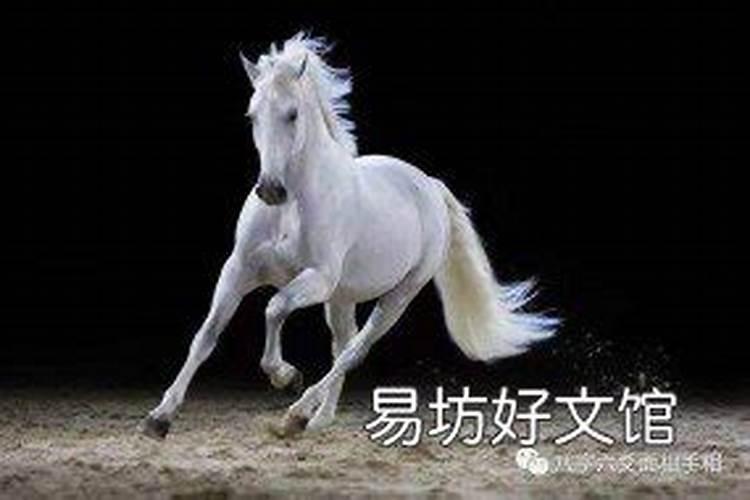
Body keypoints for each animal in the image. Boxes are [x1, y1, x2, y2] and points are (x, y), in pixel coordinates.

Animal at [140, 33, 557, 439]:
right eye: (251, 116)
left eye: (292, 114)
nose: (270, 190)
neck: (290, 208)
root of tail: (429, 184)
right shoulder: (239, 270)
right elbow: (206, 335)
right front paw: (160, 417)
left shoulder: (318, 279)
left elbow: (274, 307)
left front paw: (284, 376)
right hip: (342, 298)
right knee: (342, 342)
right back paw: (317, 420)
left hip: (398, 295)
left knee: (354, 350)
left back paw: (296, 414)